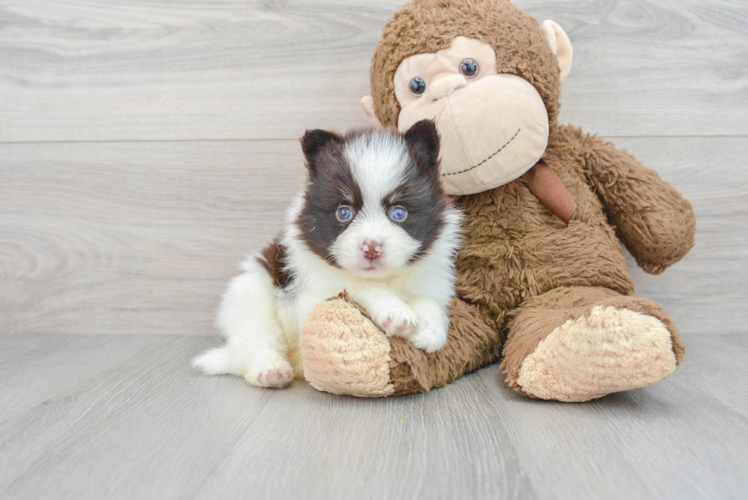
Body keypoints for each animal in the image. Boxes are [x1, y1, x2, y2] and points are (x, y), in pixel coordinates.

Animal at [191, 119, 462, 388]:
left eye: (399, 213)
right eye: (344, 212)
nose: (371, 248)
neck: (384, 278)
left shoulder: (430, 278)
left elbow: (429, 300)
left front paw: (431, 330)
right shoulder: (313, 296)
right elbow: (359, 286)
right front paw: (396, 312)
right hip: (249, 295)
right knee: (256, 342)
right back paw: (271, 370)